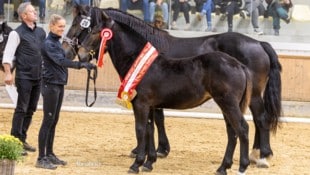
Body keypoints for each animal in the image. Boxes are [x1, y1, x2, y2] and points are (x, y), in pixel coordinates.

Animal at [62, 5, 280, 168]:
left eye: (83, 25)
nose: (70, 52)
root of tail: (259, 44)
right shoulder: (154, 100)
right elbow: (154, 123)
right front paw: (155, 154)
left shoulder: (146, 101)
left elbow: (149, 125)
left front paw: (149, 154)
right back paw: (254, 155)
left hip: (249, 96)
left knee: (260, 119)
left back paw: (261, 156)